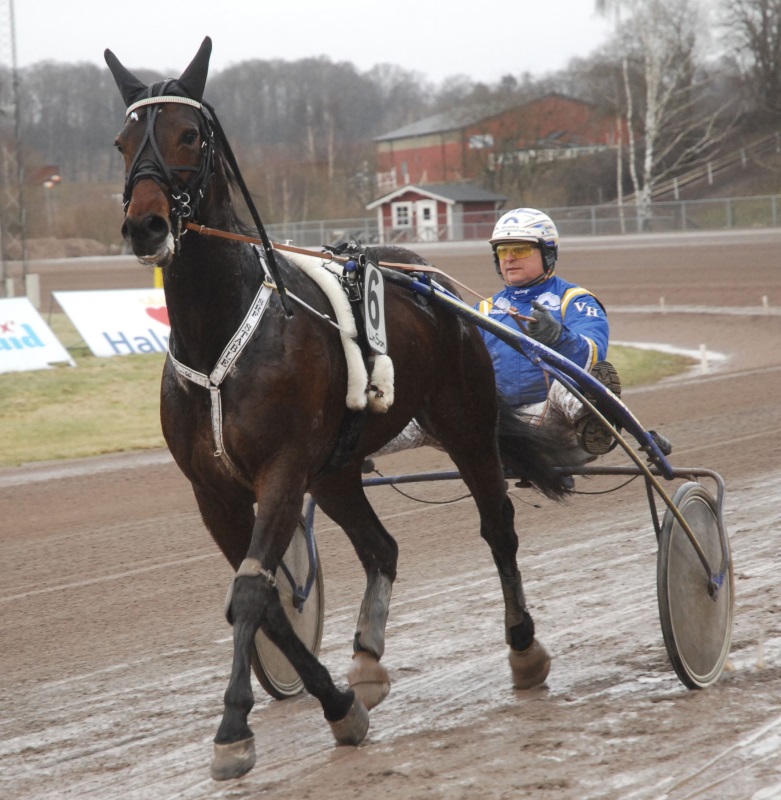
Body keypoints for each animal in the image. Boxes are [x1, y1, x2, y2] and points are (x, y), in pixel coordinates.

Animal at [104, 37, 572, 781]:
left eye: (189, 134)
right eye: (122, 141)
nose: (145, 225)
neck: (221, 335)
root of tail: (429, 282)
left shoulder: (282, 469)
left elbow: (251, 593)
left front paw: (233, 729)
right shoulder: (216, 491)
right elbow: (267, 599)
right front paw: (339, 701)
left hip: (463, 422)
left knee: (497, 526)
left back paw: (524, 650)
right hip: (337, 469)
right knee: (381, 546)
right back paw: (367, 661)